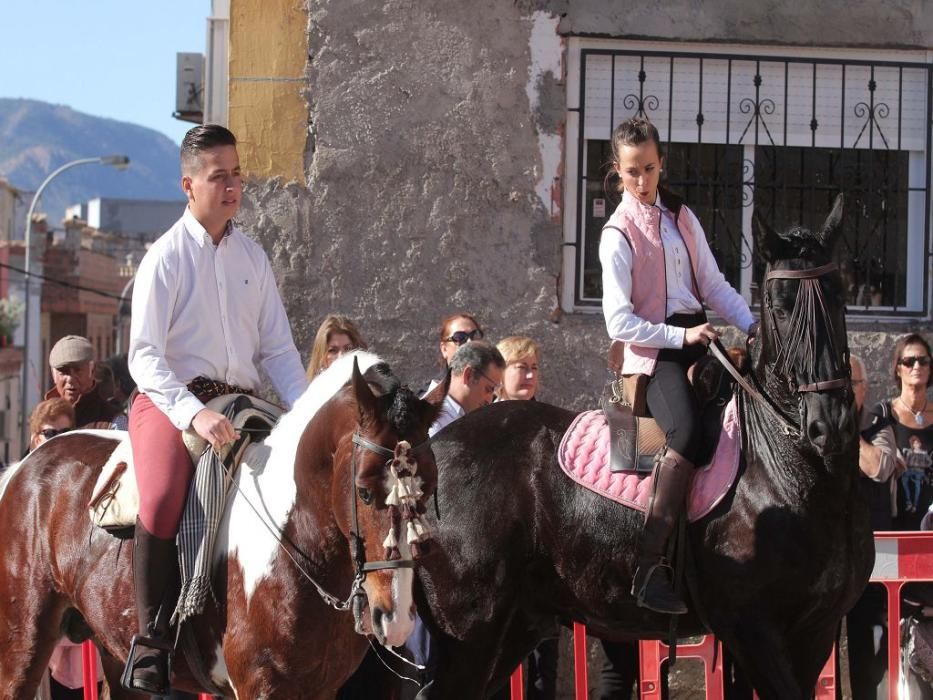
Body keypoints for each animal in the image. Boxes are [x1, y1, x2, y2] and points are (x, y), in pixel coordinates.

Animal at [0, 352, 442, 696]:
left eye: (431, 488)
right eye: (364, 492)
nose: (395, 618)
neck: (294, 543)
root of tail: (25, 465)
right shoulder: (262, 685)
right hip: (22, 644)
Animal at [412, 196, 872, 700]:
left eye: (838, 297)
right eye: (779, 306)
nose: (830, 424)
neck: (792, 472)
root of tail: (427, 451)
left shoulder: (816, 630)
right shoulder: (753, 628)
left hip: (513, 630)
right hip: (472, 635)